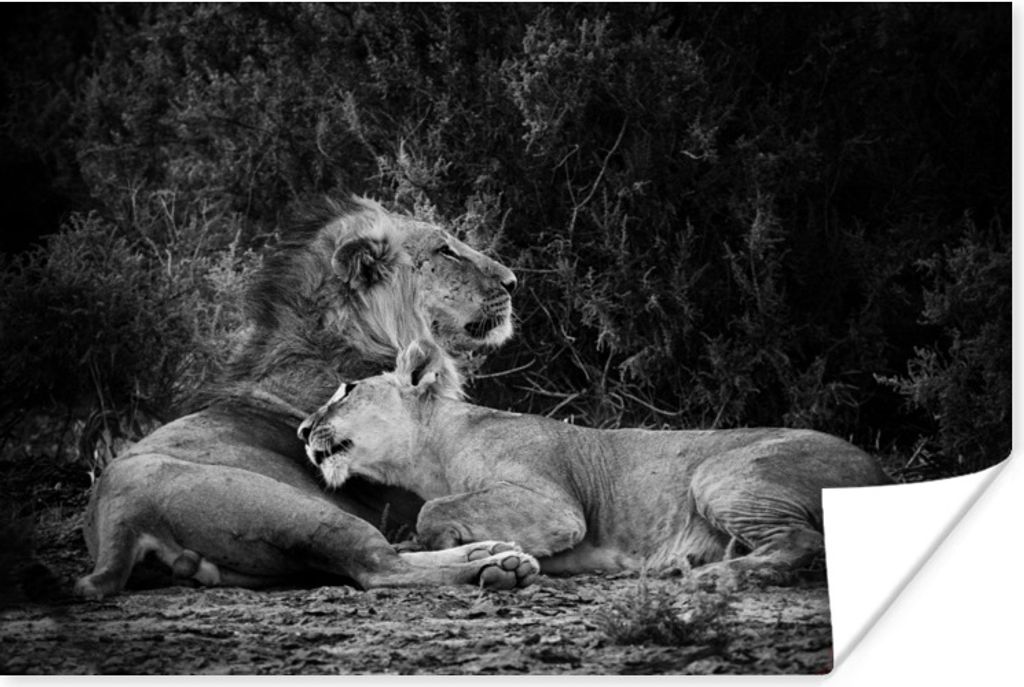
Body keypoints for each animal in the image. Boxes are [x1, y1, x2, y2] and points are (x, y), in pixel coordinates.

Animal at [75, 197, 539, 599]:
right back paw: (495, 564)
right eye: (445, 251)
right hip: (305, 511)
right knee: (380, 567)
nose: (513, 282)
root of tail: (119, 516)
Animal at [299, 338, 894, 583]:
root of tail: (882, 473)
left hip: (719, 475)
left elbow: (433, 512)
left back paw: (710, 575)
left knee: (803, 541)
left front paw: (451, 542)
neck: (435, 453)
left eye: (346, 389)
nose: (302, 430)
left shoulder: (557, 506)